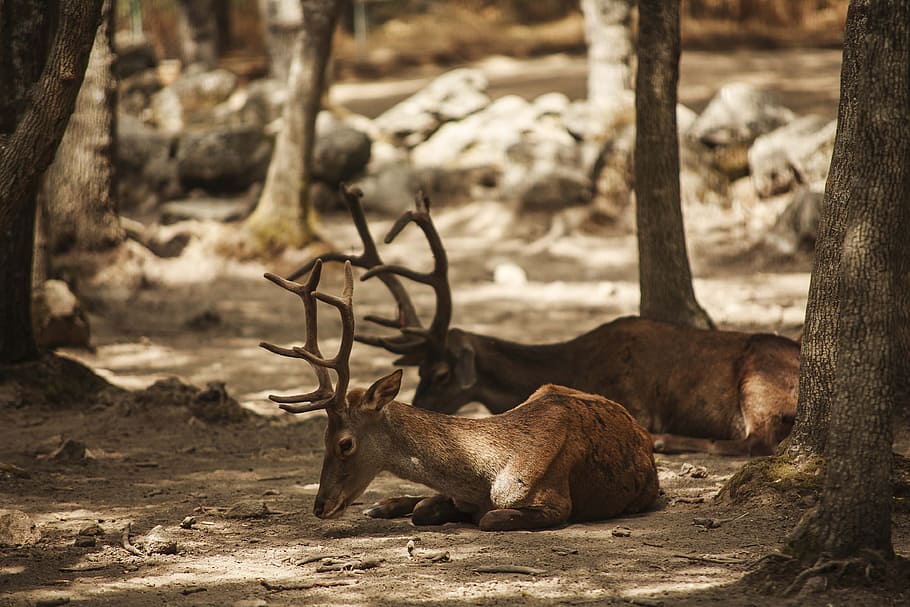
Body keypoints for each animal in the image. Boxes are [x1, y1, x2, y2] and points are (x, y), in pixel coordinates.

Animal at [260, 260, 659, 531]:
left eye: (344, 443)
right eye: (322, 437)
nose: (320, 506)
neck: (486, 478)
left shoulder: (556, 501)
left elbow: (489, 518)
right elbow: (426, 509)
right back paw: (384, 505)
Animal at [290, 185, 801, 457]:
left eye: (442, 373)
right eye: (419, 372)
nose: (417, 409)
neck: (574, 365)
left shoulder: (636, 397)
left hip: (759, 381)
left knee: (755, 440)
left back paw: (665, 439)